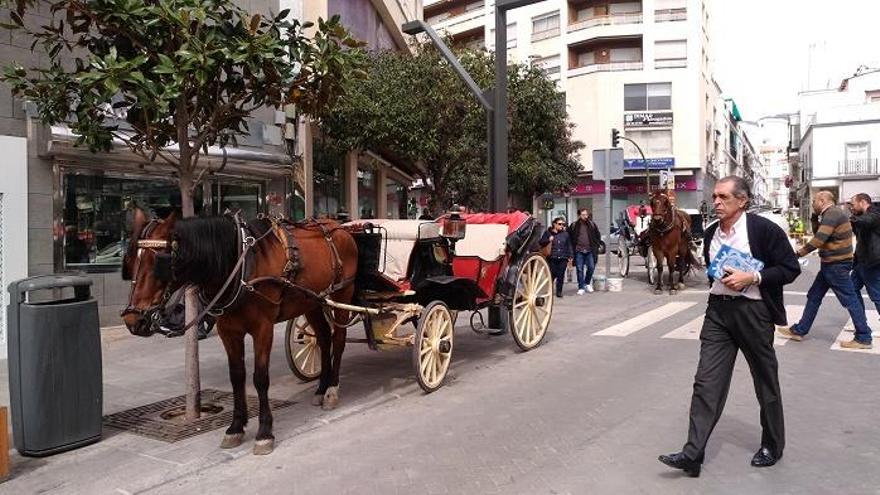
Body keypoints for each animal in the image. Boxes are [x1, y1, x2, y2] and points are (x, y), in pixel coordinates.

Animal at [119, 207, 358, 456]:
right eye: (129, 261)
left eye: (159, 263)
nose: (133, 320)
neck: (239, 266)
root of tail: (339, 227)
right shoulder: (229, 331)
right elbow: (237, 376)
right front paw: (235, 427)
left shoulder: (263, 328)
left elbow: (260, 378)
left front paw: (264, 432)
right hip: (312, 302)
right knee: (323, 338)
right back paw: (321, 388)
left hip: (342, 294)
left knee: (338, 340)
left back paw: (332, 390)